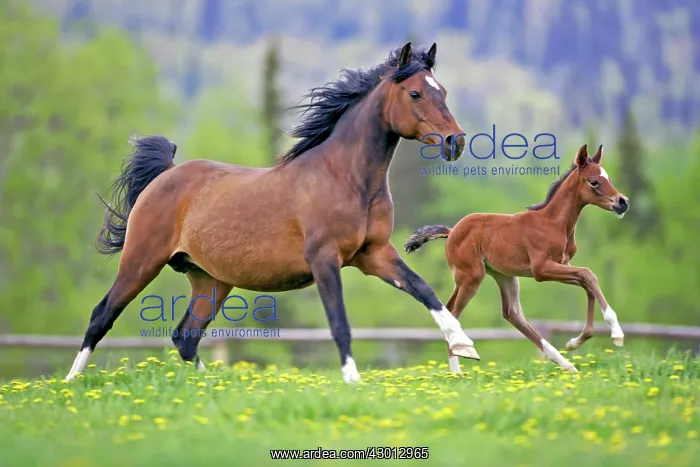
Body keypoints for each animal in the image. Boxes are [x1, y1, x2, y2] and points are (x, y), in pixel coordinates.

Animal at [65, 42, 481, 384]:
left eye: (442, 91)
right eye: (415, 93)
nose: (455, 142)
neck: (345, 178)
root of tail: (166, 175)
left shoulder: (374, 254)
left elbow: (425, 290)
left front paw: (464, 346)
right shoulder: (324, 258)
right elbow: (339, 321)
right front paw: (352, 380)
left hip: (211, 280)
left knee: (186, 336)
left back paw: (213, 384)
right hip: (142, 260)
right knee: (102, 315)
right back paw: (70, 382)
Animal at [403, 144, 629, 374]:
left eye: (608, 177)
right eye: (593, 181)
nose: (622, 202)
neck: (554, 223)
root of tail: (451, 231)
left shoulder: (562, 265)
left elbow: (587, 282)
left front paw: (575, 342)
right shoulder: (541, 269)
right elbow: (588, 274)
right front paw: (616, 333)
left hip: (503, 275)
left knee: (511, 313)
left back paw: (565, 363)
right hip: (471, 276)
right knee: (454, 312)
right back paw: (457, 370)